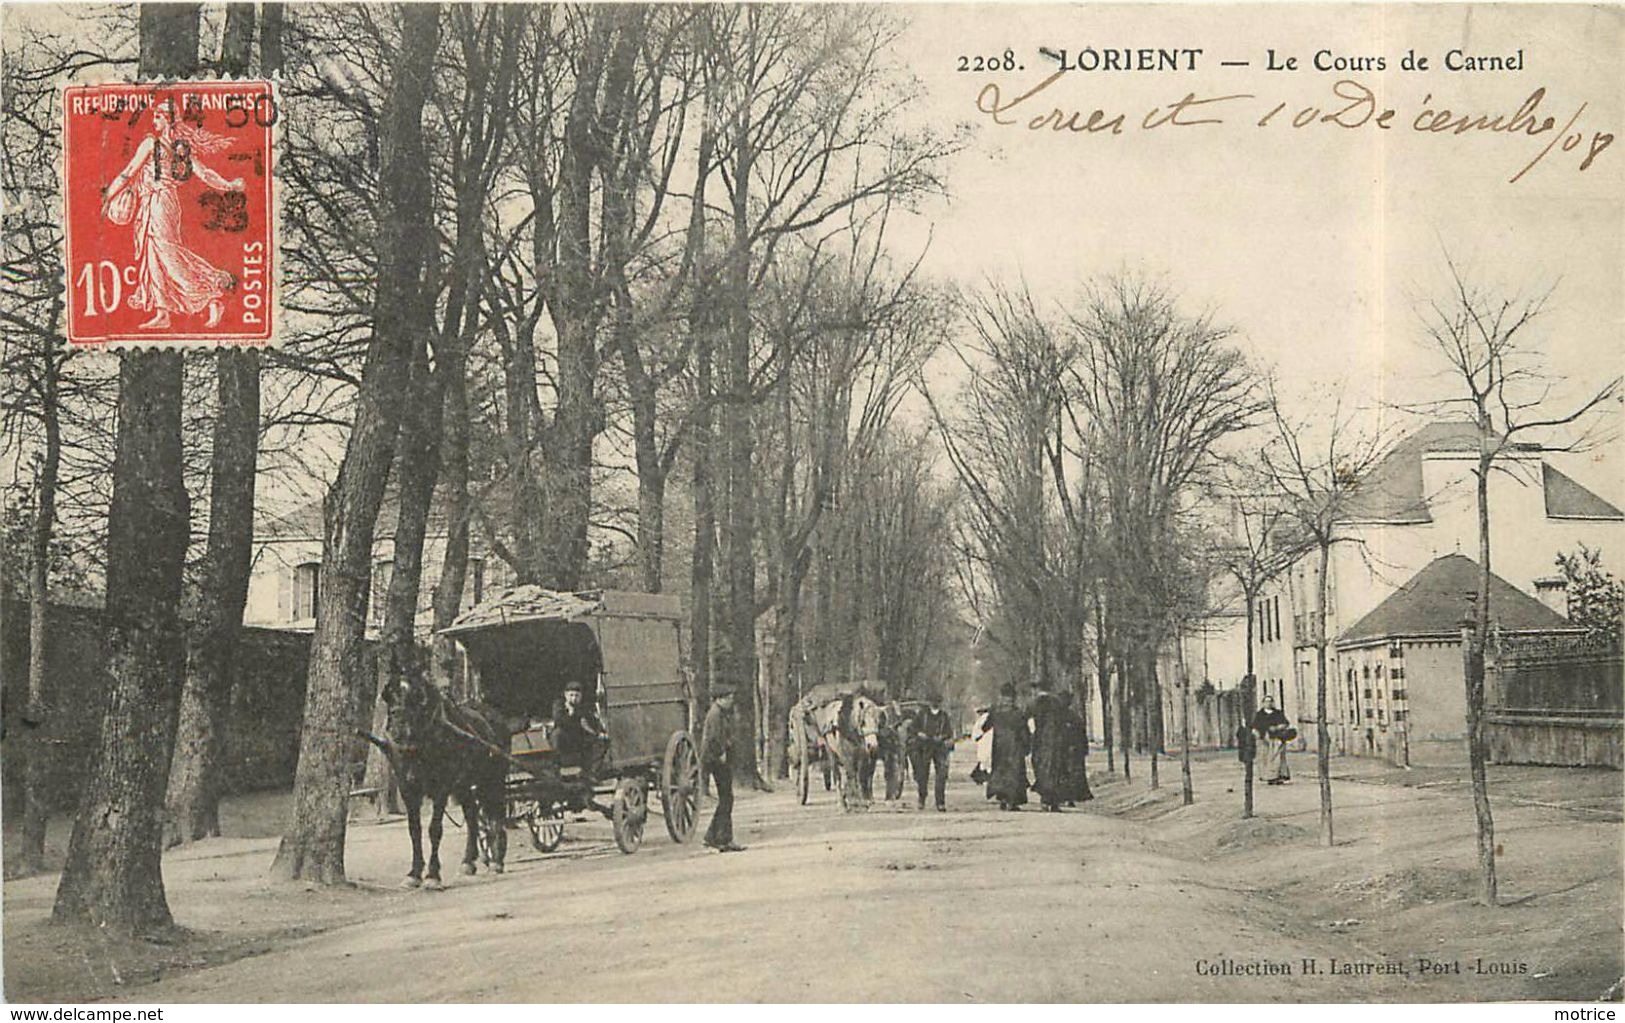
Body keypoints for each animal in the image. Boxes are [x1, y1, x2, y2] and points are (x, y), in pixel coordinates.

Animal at [367, 665, 507, 889]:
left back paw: (496, 860)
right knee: (472, 817)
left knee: (496, 815)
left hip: (493, 781)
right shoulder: (408, 789)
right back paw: (468, 862)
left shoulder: (441, 788)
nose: (398, 728)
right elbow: (414, 830)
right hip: (464, 786)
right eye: (390, 694)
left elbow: (434, 829)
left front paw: (432, 875)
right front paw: (414, 873)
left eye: (417, 695)